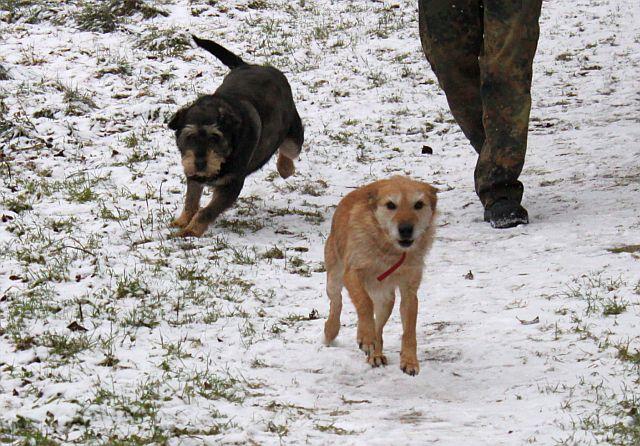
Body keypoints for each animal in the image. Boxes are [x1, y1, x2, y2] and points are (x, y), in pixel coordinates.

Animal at [168, 36, 304, 237]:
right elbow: (191, 199)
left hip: (293, 135)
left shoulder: (231, 184)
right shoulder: (193, 173)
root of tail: (249, 65)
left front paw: (191, 231)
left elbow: (208, 210)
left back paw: (285, 168)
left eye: (215, 137)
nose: (200, 163)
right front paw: (182, 221)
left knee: (289, 149)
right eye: (190, 136)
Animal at [323, 176, 438, 375]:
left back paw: (375, 353)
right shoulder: (352, 273)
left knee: (379, 325)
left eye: (418, 204)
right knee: (336, 302)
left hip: (386, 300)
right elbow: (364, 303)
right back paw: (331, 330)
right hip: (333, 276)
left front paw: (409, 360)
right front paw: (365, 336)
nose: (406, 229)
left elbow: (410, 328)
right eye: (391, 205)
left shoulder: (409, 289)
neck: (389, 250)